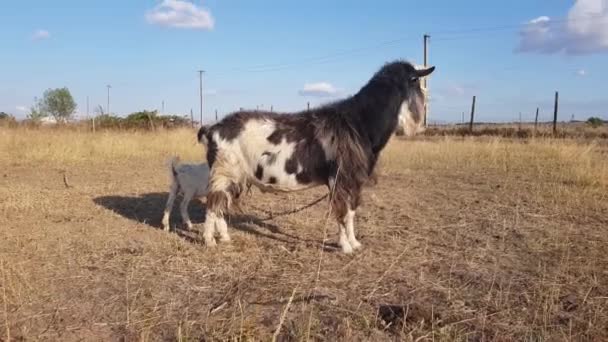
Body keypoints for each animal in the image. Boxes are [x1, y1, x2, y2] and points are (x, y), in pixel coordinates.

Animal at [197, 60, 434, 254]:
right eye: (417, 82)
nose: (422, 118)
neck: (359, 123)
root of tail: (212, 129)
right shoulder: (339, 179)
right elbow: (341, 211)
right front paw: (346, 247)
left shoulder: (354, 180)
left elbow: (351, 212)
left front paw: (355, 243)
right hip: (223, 170)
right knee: (212, 205)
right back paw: (209, 241)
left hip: (233, 176)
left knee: (220, 205)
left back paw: (224, 238)